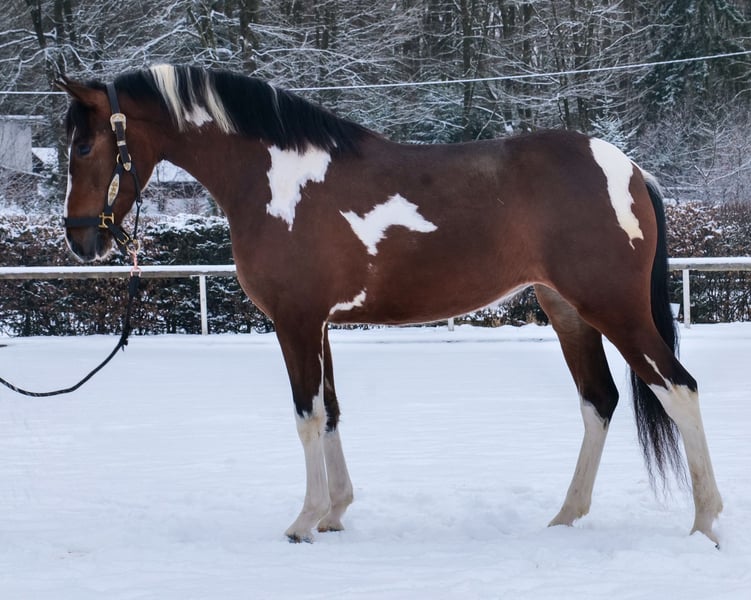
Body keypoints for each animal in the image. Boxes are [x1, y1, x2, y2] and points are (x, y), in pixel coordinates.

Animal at [58, 64, 722, 545]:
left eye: (85, 146)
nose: (81, 239)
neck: (276, 180)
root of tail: (630, 169)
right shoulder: (319, 324)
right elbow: (331, 411)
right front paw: (334, 513)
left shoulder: (295, 323)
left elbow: (306, 415)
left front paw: (304, 521)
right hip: (568, 312)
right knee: (599, 402)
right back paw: (565, 518)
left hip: (614, 310)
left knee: (680, 389)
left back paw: (705, 523)